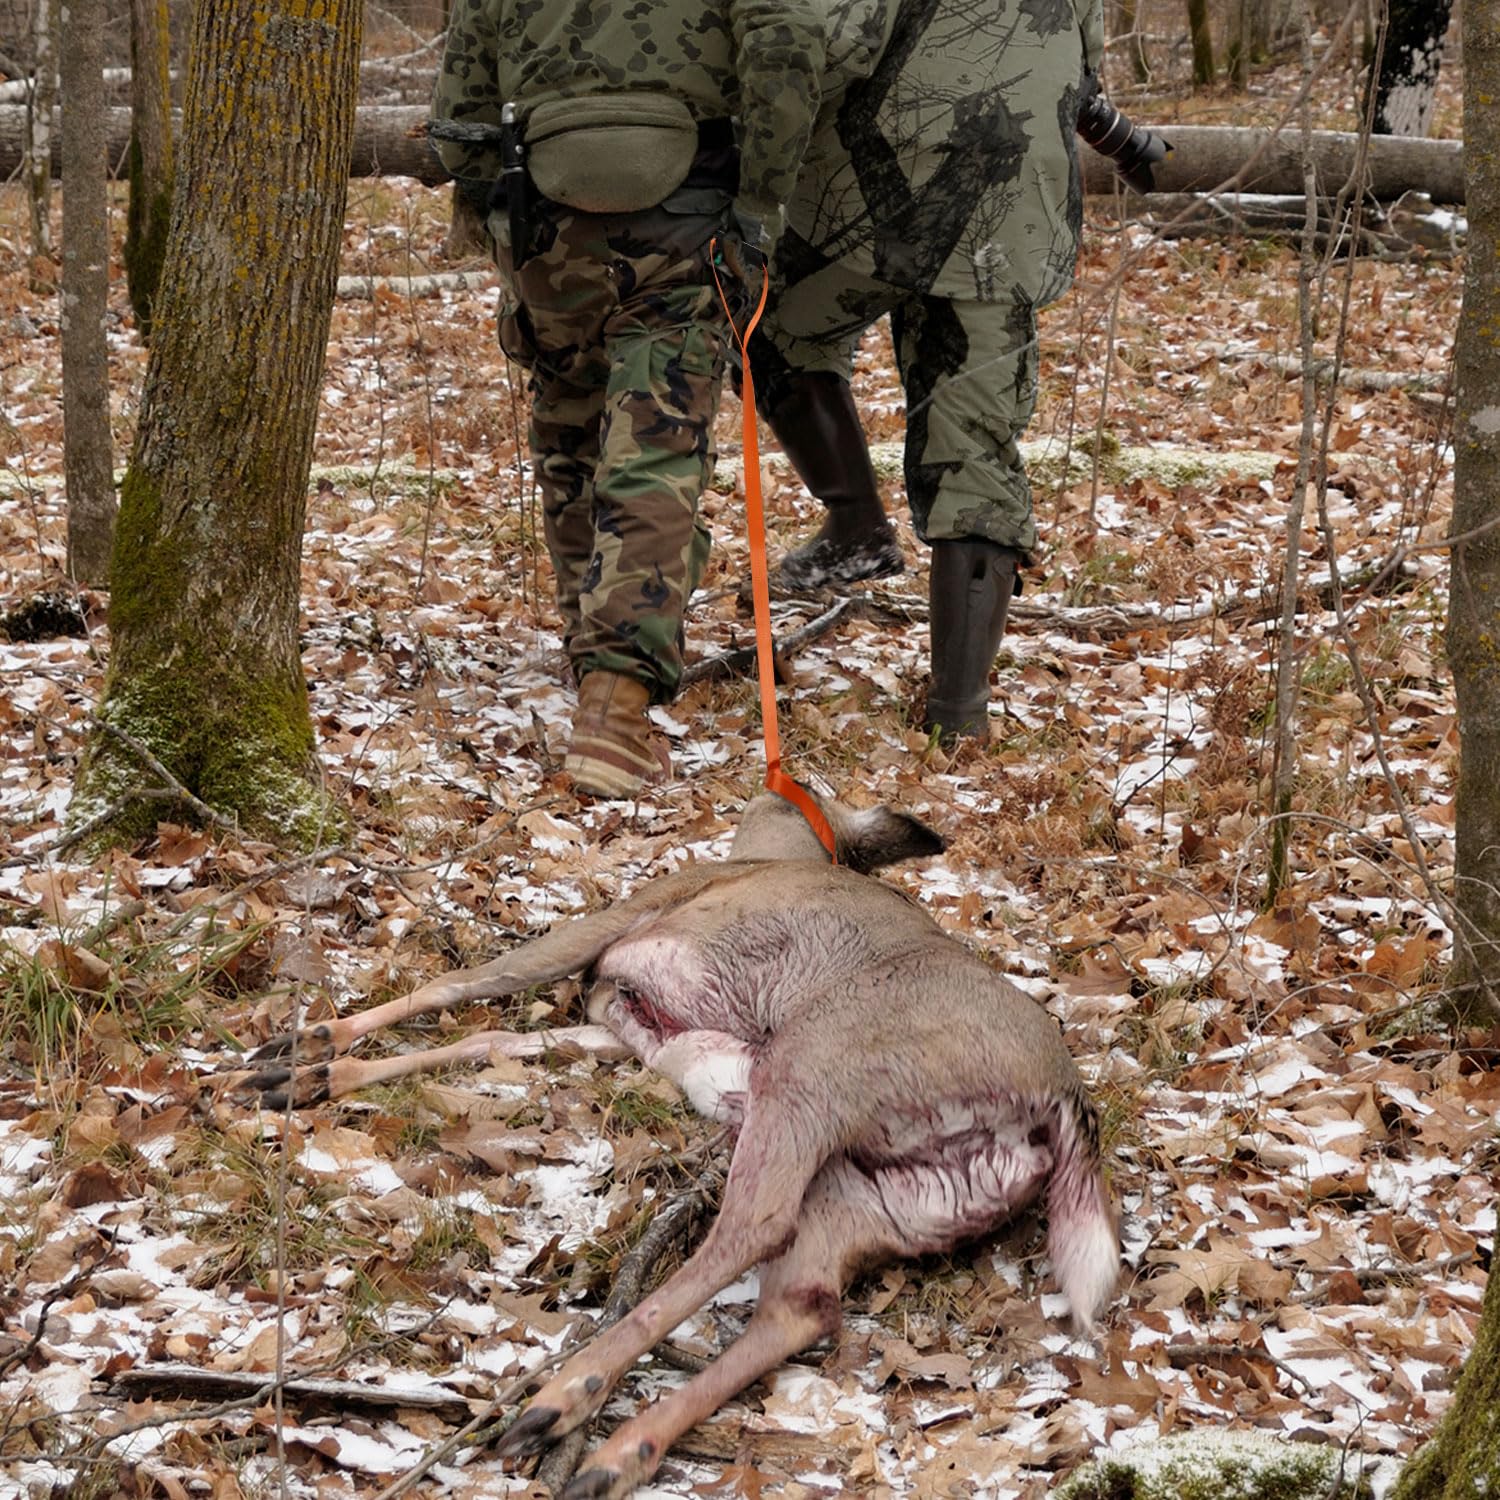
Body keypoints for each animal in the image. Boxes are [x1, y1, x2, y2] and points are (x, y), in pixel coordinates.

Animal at [239, 788, 1118, 1500]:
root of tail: (1062, 1103)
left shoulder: (627, 917)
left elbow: (467, 985)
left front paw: (311, 1043)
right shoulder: (620, 1032)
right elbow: (489, 1038)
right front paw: (311, 1072)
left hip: (819, 1065)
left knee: (753, 1226)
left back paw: (564, 1399)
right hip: (883, 1191)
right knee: (802, 1304)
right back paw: (617, 1454)